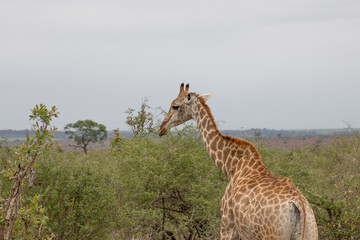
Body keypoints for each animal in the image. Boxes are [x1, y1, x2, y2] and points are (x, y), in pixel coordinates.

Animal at [158, 83, 318, 239]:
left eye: (175, 106)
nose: (161, 128)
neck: (230, 165)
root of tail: (300, 205)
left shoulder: (227, 225)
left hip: (273, 235)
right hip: (311, 231)